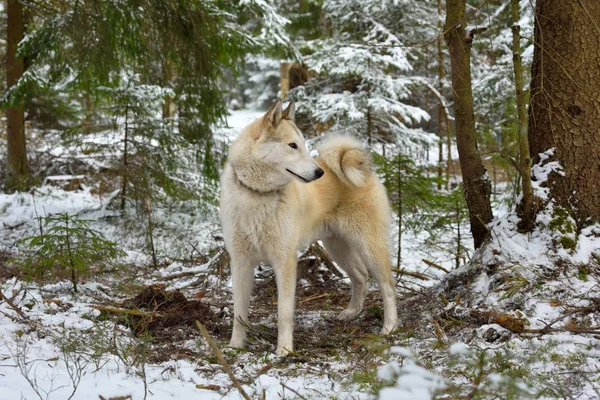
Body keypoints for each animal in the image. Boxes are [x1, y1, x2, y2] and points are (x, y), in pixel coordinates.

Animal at [220, 100, 398, 356]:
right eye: (292, 145)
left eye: (303, 145)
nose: (319, 173)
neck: (258, 194)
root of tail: (362, 167)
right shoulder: (240, 261)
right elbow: (239, 313)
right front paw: (235, 346)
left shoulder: (284, 261)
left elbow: (284, 313)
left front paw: (284, 349)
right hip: (337, 247)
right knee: (360, 276)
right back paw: (352, 312)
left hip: (369, 246)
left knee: (388, 286)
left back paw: (390, 327)